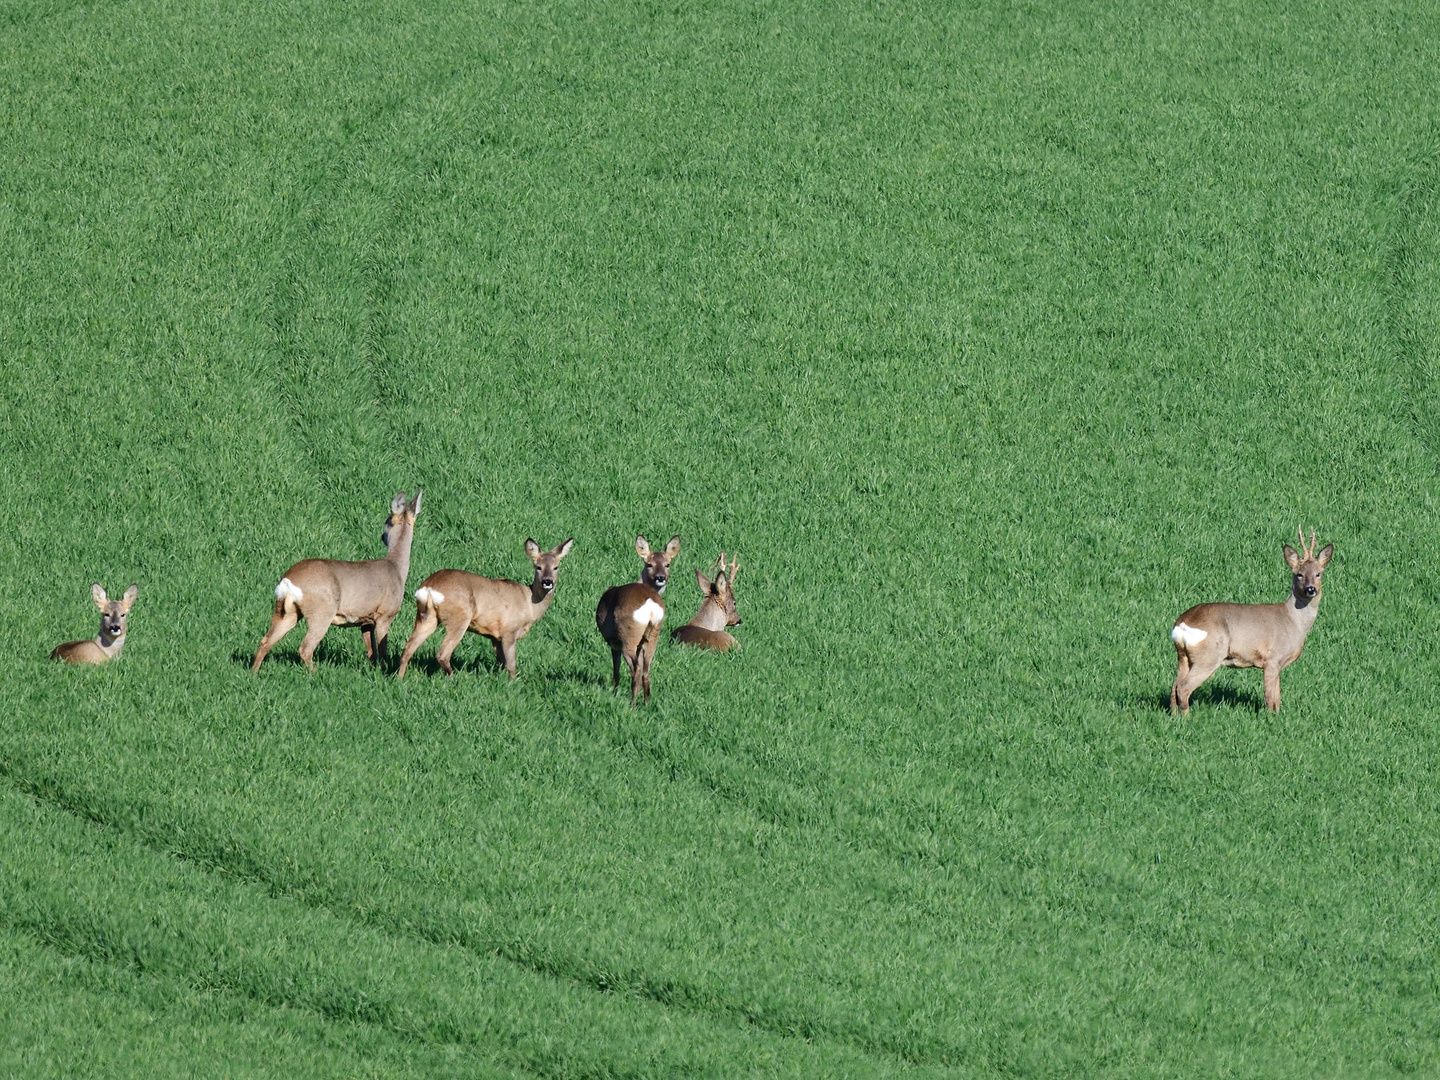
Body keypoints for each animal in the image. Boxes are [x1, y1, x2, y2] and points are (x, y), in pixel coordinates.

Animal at [252, 492, 420, 676]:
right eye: (387, 520)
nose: (382, 537)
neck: (396, 568)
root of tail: (288, 581)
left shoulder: (366, 620)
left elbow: (371, 651)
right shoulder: (385, 614)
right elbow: (382, 650)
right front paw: (384, 672)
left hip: (286, 611)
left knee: (266, 640)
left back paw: (253, 673)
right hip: (322, 610)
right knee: (305, 648)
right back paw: (316, 674)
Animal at [397, 538, 576, 679]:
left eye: (556, 567)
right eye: (537, 567)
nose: (547, 581)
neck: (529, 604)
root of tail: (428, 588)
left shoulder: (495, 636)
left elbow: (502, 663)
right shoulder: (509, 631)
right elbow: (511, 665)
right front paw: (513, 685)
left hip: (426, 616)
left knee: (408, 648)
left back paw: (399, 679)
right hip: (458, 619)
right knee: (442, 654)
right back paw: (454, 679)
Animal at [599, 535, 682, 705]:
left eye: (667, 564)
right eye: (649, 564)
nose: (661, 578)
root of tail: (649, 605)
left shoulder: (613, 643)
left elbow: (616, 671)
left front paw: (614, 694)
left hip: (628, 637)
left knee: (635, 670)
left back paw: (632, 704)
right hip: (653, 635)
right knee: (646, 671)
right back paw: (646, 703)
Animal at [1163, 527, 1330, 714]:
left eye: (1318, 574)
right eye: (1299, 574)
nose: (1311, 589)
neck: (1294, 621)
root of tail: (1182, 623)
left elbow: (1277, 698)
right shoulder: (1272, 659)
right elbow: (1271, 699)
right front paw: (1270, 717)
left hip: (1183, 657)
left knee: (1174, 687)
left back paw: (1174, 717)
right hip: (1208, 656)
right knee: (1183, 688)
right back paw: (1187, 718)